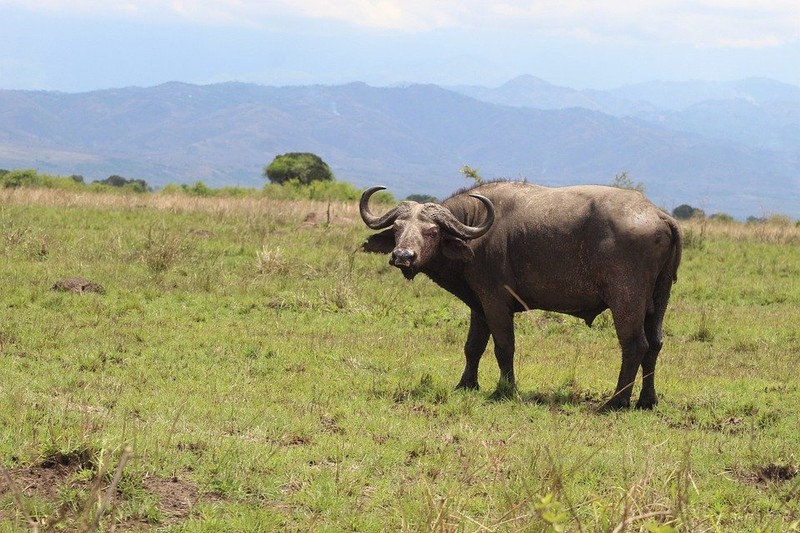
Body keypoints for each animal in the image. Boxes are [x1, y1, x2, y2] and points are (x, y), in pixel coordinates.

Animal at [360, 181, 680, 410]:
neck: (476, 232)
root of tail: (658, 214)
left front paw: (506, 390)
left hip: (627, 300)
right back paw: (647, 401)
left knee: (635, 345)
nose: (403, 256)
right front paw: (466, 385)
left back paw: (616, 402)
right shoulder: (479, 305)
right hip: (659, 299)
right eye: (398, 228)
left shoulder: (496, 302)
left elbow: (504, 347)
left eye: (432, 231)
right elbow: (473, 346)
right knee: (655, 344)